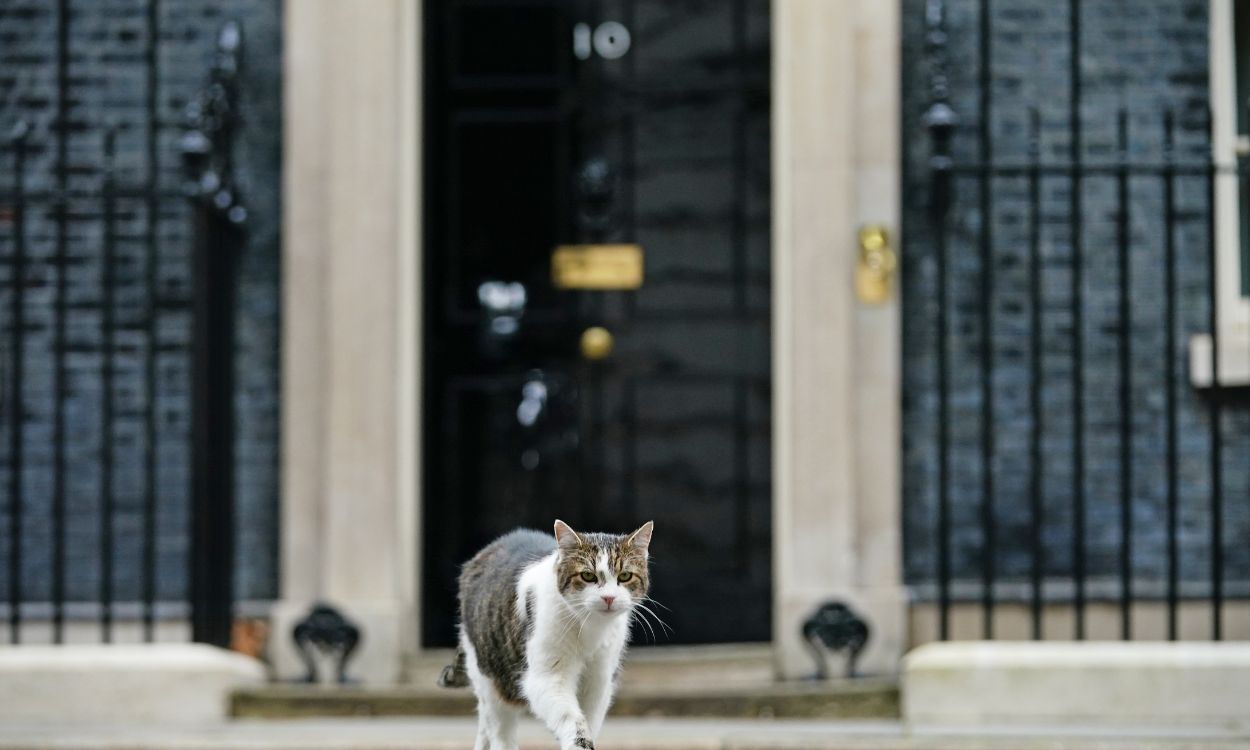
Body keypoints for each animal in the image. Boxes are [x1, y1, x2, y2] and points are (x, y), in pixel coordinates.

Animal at [437, 517, 655, 750]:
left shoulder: (599, 681)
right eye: (588, 575)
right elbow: (573, 721)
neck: (591, 627)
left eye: (625, 576)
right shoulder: (547, 678)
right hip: (490, 676)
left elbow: (589, 720)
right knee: (499, 730)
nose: (609, 598)